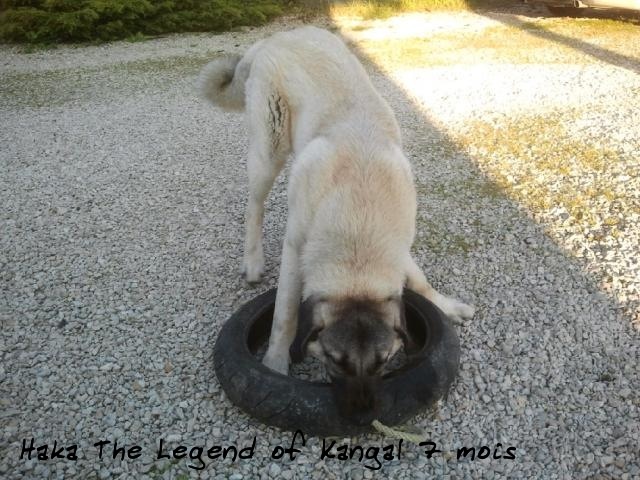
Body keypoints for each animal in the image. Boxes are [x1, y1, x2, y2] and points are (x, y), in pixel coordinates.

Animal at [199, 26, 474, 424]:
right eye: (334, 361)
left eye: (384, 361)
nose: (362, 417)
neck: (358, 231)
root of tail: (278, 37)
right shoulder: (296, 248)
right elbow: (284, 314)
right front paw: (275, 363)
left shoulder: (399, 240)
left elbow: (418, 278)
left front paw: (445, 304)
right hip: (268, 152)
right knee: (254, 205)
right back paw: (252, 261)